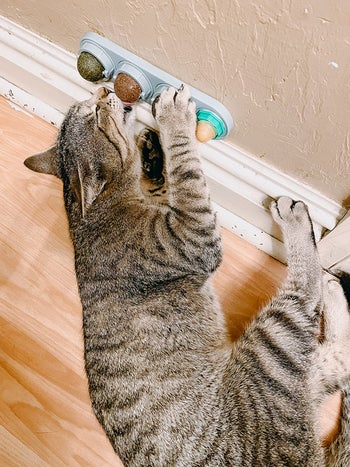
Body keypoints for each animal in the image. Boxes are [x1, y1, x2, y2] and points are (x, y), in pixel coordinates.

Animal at [23, 86, 350, 466]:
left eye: (89, 109)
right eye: (96, 116)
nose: (104, 91)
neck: (94, 209)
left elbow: (170, 179)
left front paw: (152, 152)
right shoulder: (195, 232)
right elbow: (187, 171)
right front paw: (174, 122)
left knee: (338, 357)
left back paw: (334, 291)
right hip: (271, 348)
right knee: (305, 294)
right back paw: (302, 232)